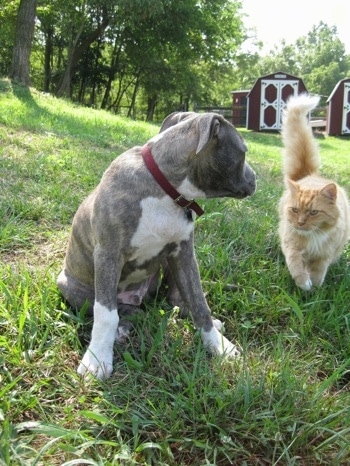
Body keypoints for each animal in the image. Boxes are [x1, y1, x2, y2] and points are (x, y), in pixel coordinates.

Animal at [56, 112, 254, 378]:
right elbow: (105, 314)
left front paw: (218, 345)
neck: (165, 191)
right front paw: (97, 358)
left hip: (169, 265)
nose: (255, 178)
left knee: (176, 299)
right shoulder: (108, 255)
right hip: (70, 285)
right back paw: (123, 328)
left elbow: (199, 302)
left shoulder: (184, 253)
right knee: (123, 310)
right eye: (243, 152)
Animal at [278, 92, 348, 290]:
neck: (313, 238)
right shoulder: (291, 244)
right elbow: (295, 263)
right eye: (295, 210)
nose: (301, 223)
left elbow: (319, 270)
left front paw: (315, 287)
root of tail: (310, 174)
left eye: (313, 212)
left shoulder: (325, 254)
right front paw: (304, 283)